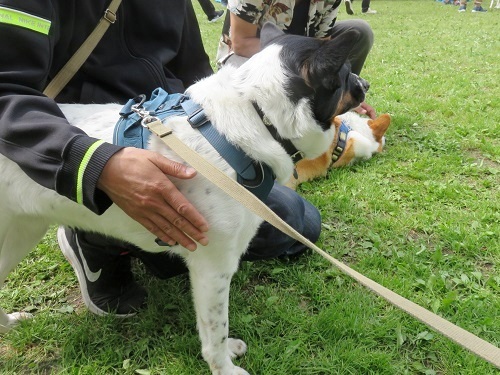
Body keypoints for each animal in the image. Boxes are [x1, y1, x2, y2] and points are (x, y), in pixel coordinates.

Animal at [0, 24, 368, 375]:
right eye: (346, 72)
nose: (364, 83)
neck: (257, 115)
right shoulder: (213, 266)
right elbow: (215, 331)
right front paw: (224, 369)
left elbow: (211, 330)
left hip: (20, 234)